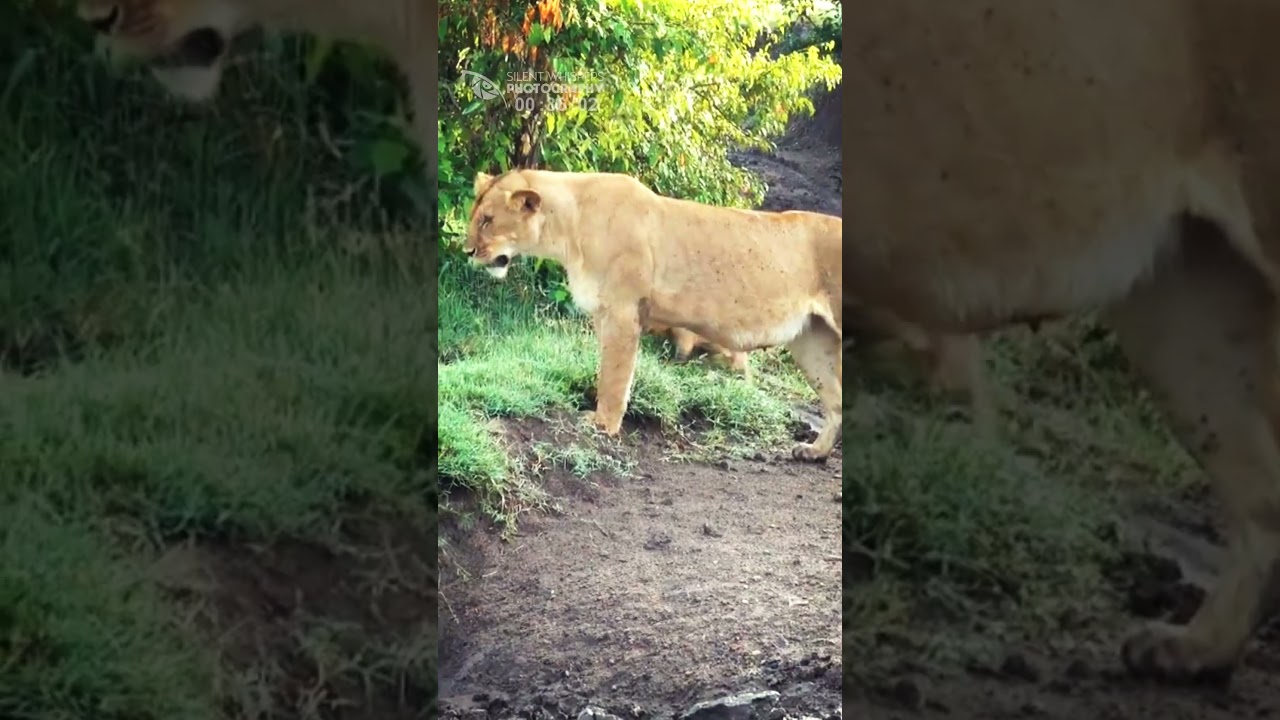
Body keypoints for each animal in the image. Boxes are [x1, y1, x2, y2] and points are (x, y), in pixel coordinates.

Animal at [465, 169, 843, 461]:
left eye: (487, 220)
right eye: (474, 217)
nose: (466, 250)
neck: (569, 227)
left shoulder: (622, 312)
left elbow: (614, 377)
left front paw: (603, 425)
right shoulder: (603, 313)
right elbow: (608, 372)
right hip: (812, 342)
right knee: (836, 401)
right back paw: (814, 452)